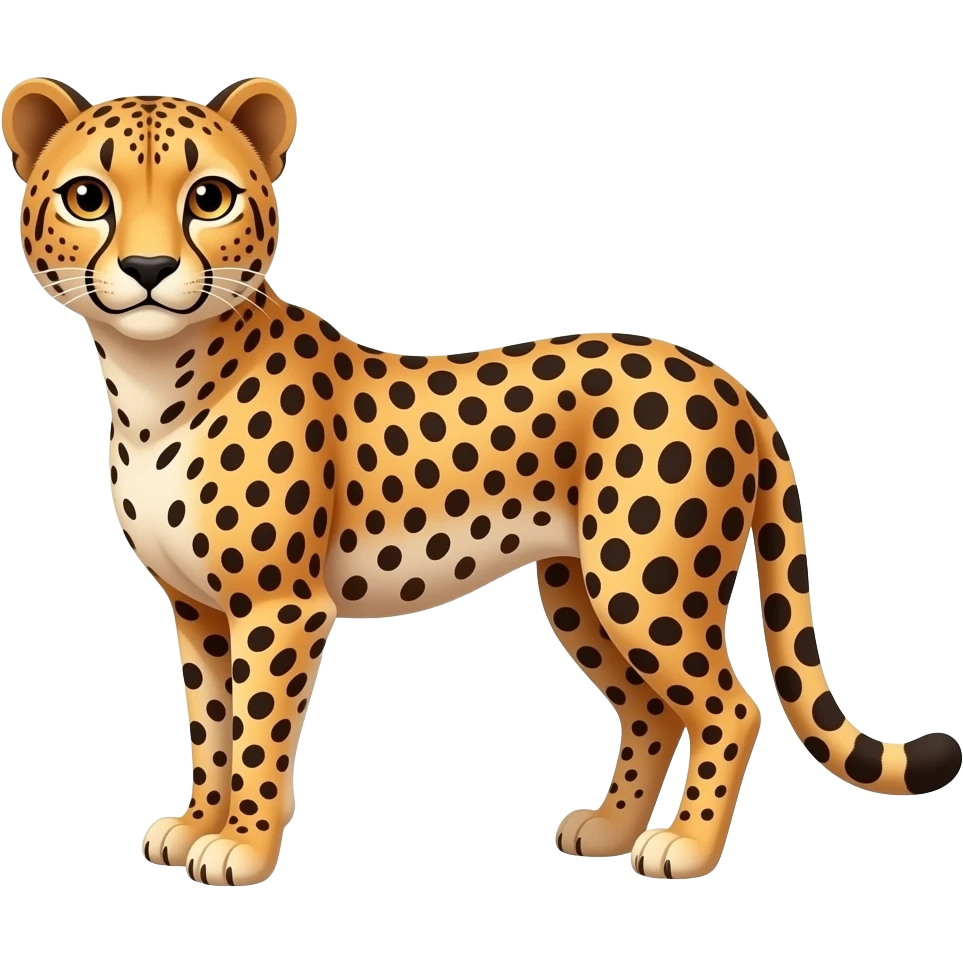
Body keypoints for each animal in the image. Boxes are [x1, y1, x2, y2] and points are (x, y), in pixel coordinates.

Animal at [5, 76, 960, 887]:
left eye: (208, 197)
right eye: (88, 196)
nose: (150, 272)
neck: (152, 379)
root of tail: (724, 378)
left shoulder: (280, 607)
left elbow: (259, 735)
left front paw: (241, 843)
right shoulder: (198, 608)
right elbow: (210, 725)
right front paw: (196, 822)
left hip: (644, 586)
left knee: (729, 707)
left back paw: (683, 846)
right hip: (579, 589)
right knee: (653, 711)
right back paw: (608, 829)